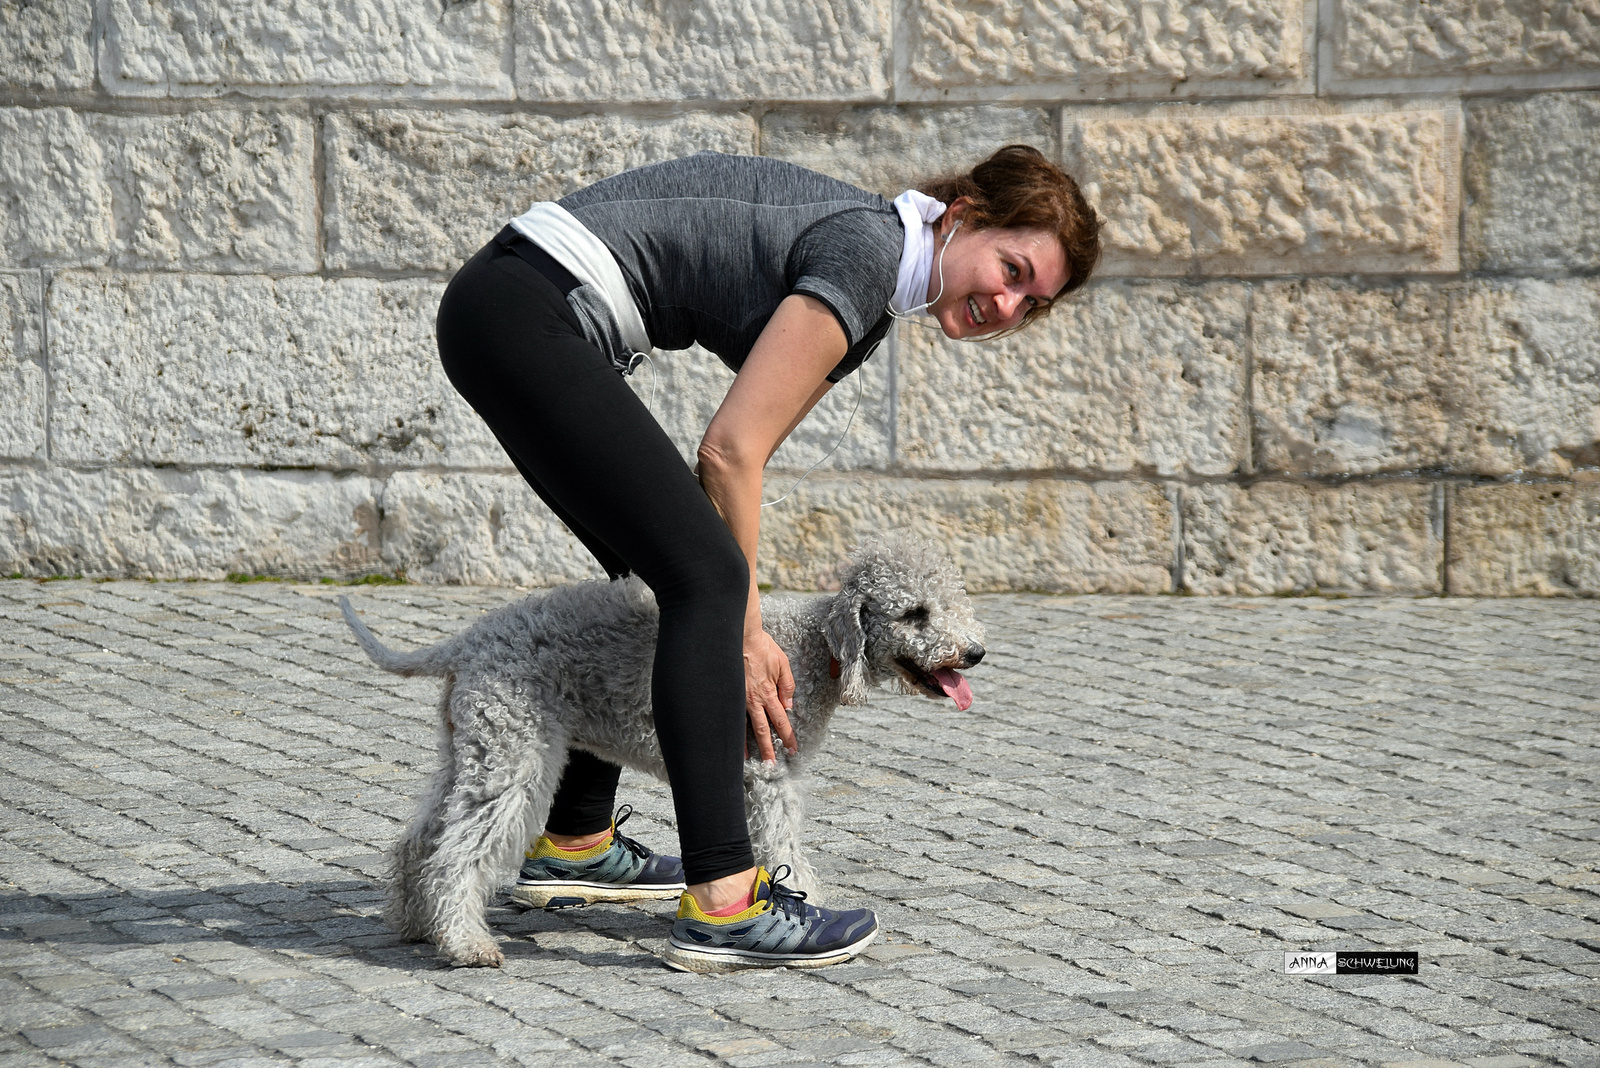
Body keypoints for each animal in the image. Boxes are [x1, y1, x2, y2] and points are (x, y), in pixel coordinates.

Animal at [344, 534, 979, 965]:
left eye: (953, 603)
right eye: (914, 613)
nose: (973, 653)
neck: (810, 648)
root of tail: (466, 641)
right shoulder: (765, 774)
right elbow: (784, 847)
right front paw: (809, 907)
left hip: (474, 747)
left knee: (420, 840)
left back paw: (414, 923)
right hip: (514, 754)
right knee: (455, 853)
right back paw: (465, 943)